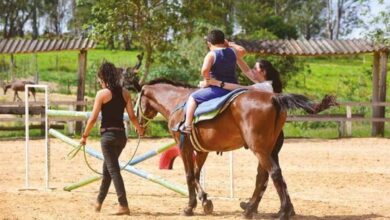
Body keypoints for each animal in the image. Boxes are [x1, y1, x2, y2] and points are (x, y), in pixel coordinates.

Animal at [133, 78, 336, 218]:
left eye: (136, 100)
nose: (138, 125)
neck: (178, 101)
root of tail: (274, 97)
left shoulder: (184, 147)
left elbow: (190, 175)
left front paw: (190, 207)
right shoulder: (202, 151)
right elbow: (197, 174)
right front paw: (205, 201)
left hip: (259, 149)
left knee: (274, 173)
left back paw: (282, 212)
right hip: (267, 149)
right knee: (264, 177)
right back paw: (252, 209)